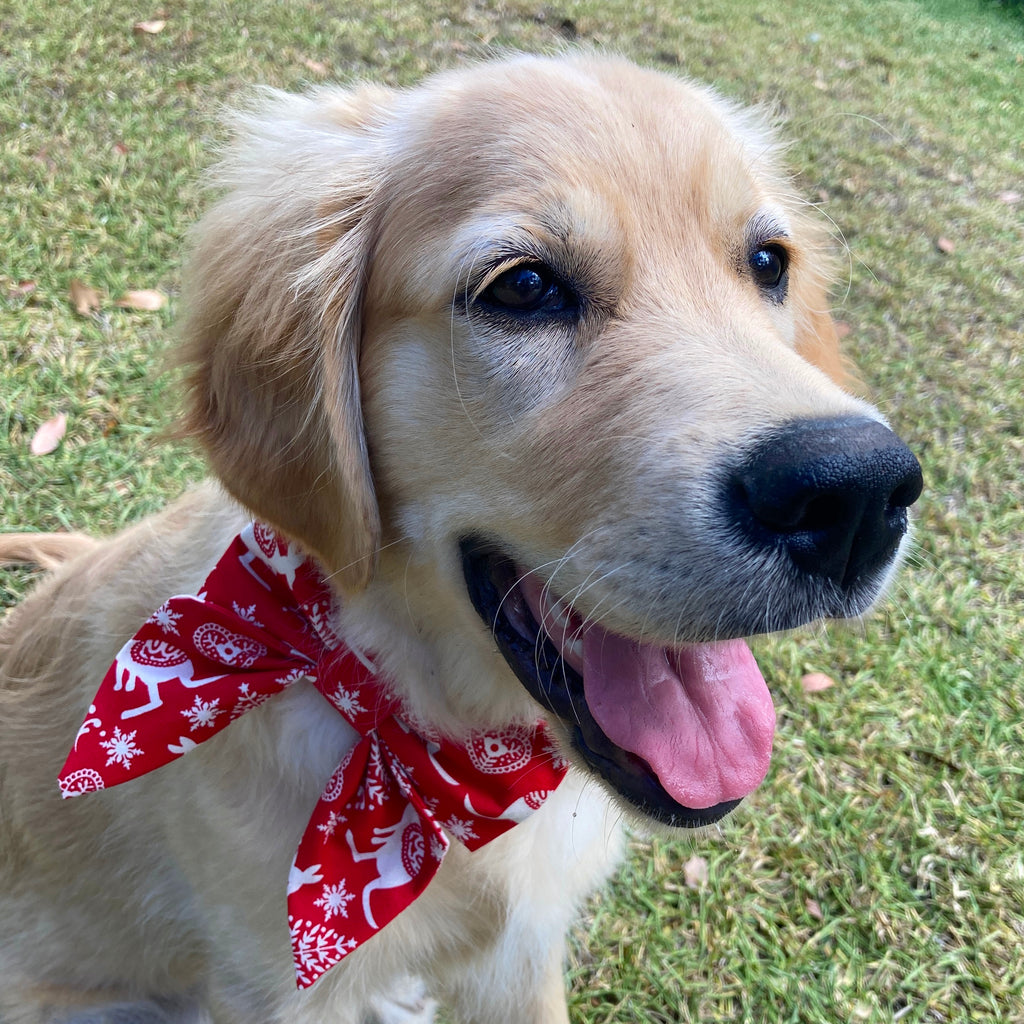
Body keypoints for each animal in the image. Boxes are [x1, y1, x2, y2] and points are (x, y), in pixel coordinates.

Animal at [0, 51, 921, 1019]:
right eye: (524, 287)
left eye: (768, 263)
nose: (857, 496)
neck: (433, 745)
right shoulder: (273, 985)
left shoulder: (522, 957)